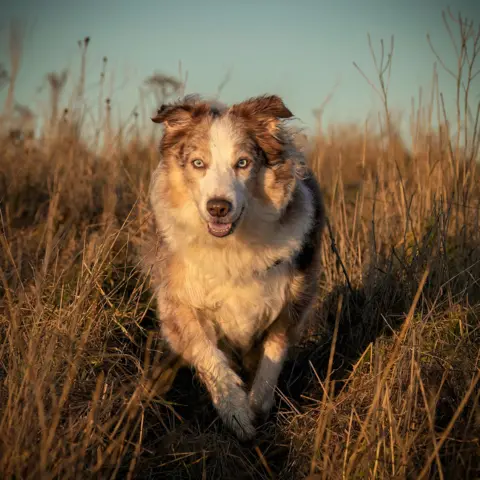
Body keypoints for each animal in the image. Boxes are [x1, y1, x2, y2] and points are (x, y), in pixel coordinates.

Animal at [141, 93, 324, 438]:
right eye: (198, 163)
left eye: (242, 163)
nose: (218, 207)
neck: (231, 245)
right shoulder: (178, 301)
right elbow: (209, 357)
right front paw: (236, 412)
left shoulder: (292, 299)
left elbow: (272, 357)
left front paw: (256, 406)